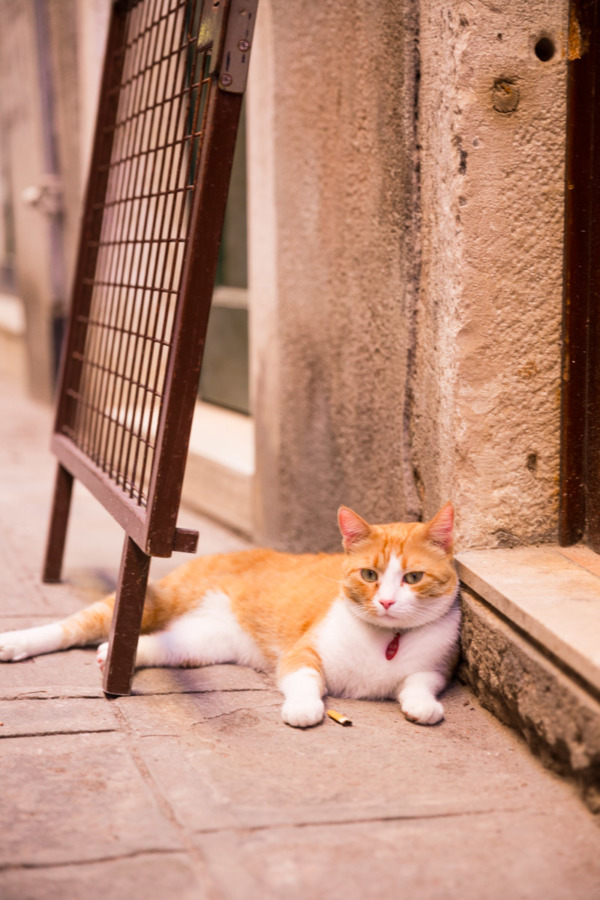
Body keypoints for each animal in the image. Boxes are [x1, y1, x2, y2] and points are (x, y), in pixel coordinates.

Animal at [0, 502, 460, 728]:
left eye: (413, 577)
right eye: (369, 575)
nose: (386, 602)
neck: (385, 640)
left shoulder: (434, 668)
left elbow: (420, 685)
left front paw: (423, 707)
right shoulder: (302, 652)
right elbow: (304, 680)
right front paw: (304, 709)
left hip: (200, 644)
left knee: (152, 644)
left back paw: (112, 653)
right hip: (158, 600)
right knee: (73, 626)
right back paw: (16, 642)